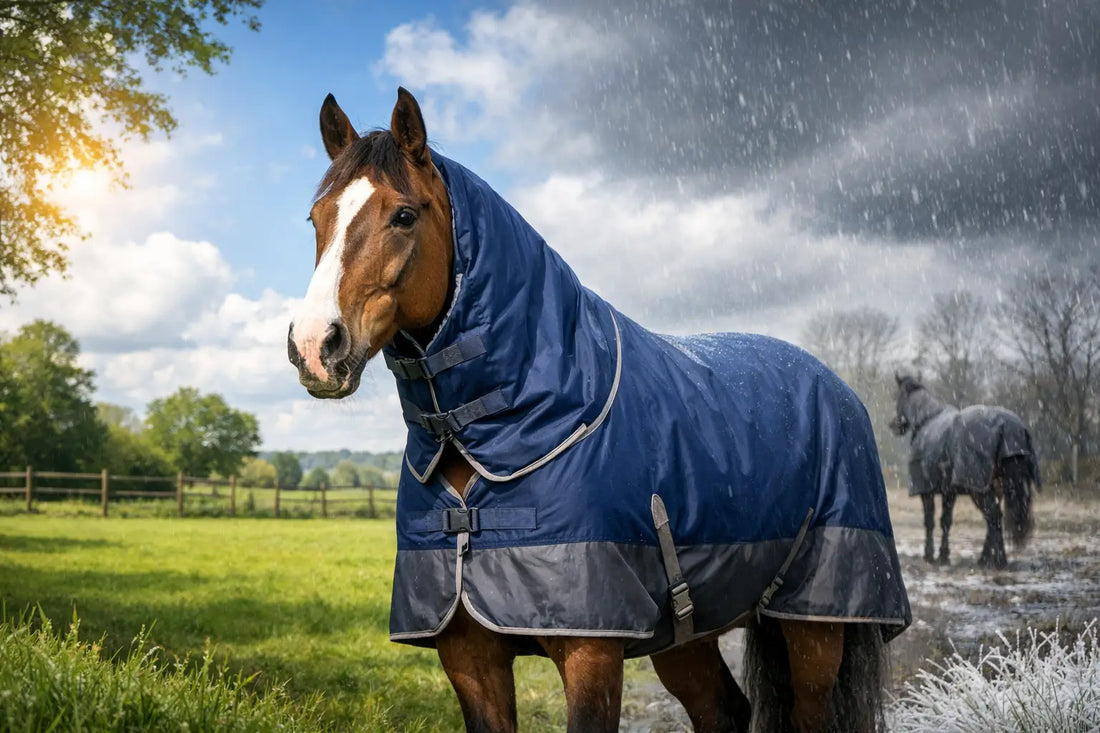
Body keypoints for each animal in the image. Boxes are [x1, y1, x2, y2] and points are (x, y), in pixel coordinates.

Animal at [287, 88, 911, 732]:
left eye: (404, 215)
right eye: (317, 218)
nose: (314, 346)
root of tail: (837, 387)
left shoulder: (593, 649)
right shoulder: (468, 655)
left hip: (815, 626)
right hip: (690, 634)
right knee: (724, 711)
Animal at [889, 373, 1040, 569]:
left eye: (895, 397)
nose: (893, 425)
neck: (927, 419)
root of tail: (1007, 427)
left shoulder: (926, 490)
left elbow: (929, 521)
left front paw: (930, 555)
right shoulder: (949, 491)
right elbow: (946, 521)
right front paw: (943, 556)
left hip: (979, 489)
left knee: (993, 516)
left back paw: (998, 560)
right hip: (994, 487)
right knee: (992, 519)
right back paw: (985, 559)